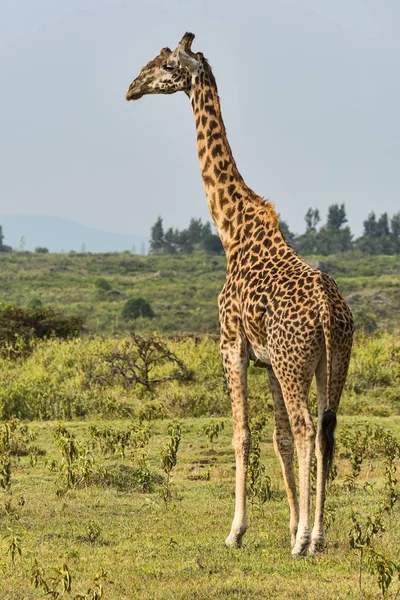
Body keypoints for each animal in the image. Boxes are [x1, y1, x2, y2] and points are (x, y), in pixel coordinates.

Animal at [126, 32, 354, 556]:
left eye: (167, 65)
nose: (131, 88)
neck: (230, 230)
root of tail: (329, 312)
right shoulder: (266, 359)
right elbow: (278, 437)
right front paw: (290, 524)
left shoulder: (231, 345)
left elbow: (243, 435)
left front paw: (238, 531)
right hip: (332, 360)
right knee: (325, 429)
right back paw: (318, 534)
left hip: (296, 362)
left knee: (309, 428)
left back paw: (306, 541)